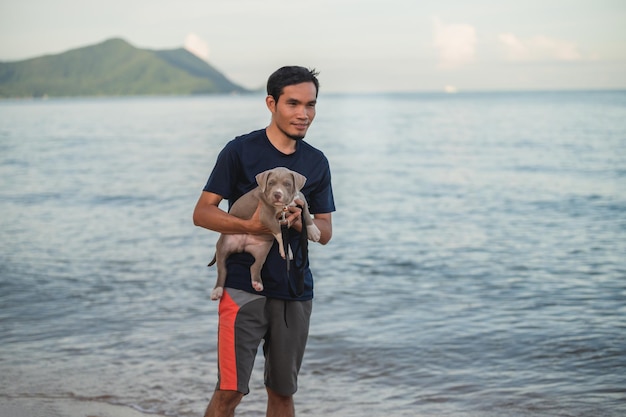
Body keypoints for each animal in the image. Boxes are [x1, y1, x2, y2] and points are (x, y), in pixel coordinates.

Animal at [207, 166, 320, 300]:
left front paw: (313, 230)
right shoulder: (266, 216)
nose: (277, 194)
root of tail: (242, 246)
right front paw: (286, 250)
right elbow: (279, 232)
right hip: (223, 245)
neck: (283, 206)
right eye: (270, 183)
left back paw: (257, 283)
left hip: (262, 249)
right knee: (222, 269)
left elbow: (306, 212)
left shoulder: (300, 198)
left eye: (287, 184)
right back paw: (217, 291)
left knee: (255, 265)